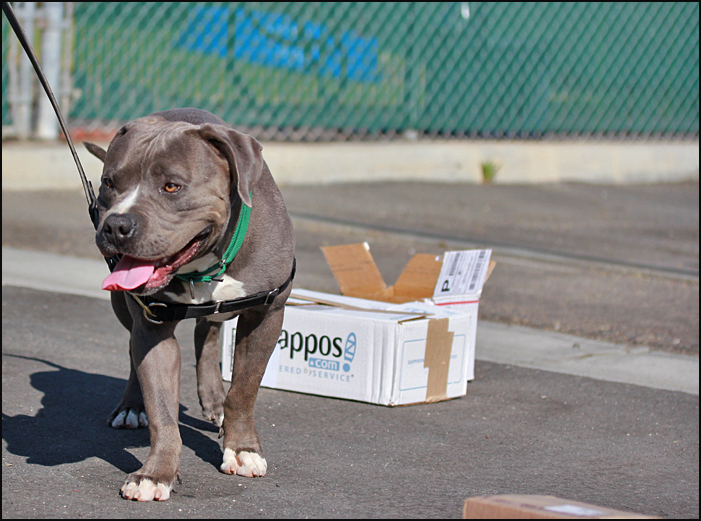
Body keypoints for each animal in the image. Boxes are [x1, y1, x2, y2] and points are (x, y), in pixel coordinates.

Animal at [84, 108, 295, 501]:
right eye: (109, 182)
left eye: (172, 186)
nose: (116, 225)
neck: (205, 265)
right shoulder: (152, 328)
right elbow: (162, 410)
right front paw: (155, 474)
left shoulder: (267, 315)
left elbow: (244, 389)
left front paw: (242, 448)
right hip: (124, 308)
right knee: (135, 348)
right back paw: (131, 406)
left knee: (207, 331)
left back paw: (214, 400)